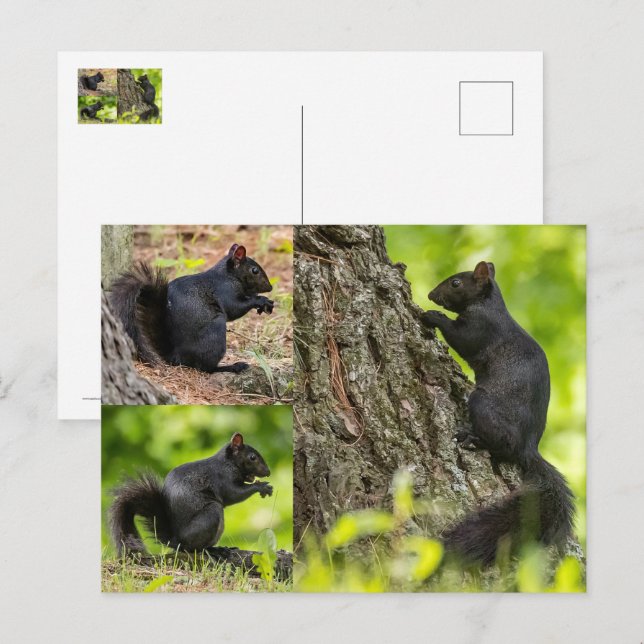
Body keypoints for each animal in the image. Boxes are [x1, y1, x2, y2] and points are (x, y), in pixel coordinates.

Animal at [109, 243, 274, 373]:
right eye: (255, 270)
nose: (270, 287)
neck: (228, 275)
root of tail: (175, 356)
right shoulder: (224, 290)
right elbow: (234, 308)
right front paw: (260, 300)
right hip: (215, 332)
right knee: (205, 368)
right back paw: (232, 367)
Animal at [110, 432, 273, 554]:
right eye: (252, 457)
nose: (268, 472)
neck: (227, 463)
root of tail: (176, 540)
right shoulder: (221, 478)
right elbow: (233, 494)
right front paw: (261, 486)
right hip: (211, 513)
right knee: (193, 549)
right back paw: (212, 552)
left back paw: (219, 549)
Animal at [421, 261, 574, 565]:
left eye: (456, 283)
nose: (432, 295)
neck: (487, 304)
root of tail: (529, 447)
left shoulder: (481, 329)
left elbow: (460, 338)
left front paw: (432, 316)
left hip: (483, 403)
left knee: (503, 448)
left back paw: (473, 438)